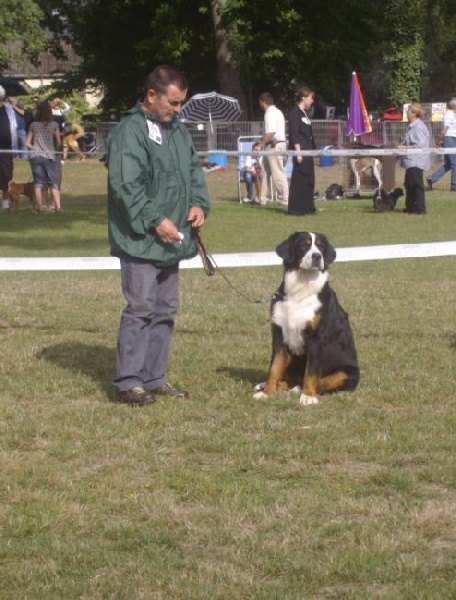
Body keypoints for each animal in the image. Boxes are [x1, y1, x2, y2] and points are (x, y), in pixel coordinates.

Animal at [253, 232, 360, 405]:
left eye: (321, 246)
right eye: (304, 245)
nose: (317, 256)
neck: (301, 290)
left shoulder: (316, 339)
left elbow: (311, 372)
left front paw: (308, 396)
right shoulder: (279, 337)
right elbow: (274, 369)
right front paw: (267, 393)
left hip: (346, 372)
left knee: (319, 382)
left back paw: (299, 389)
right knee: (289, 379)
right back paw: (266, 385)